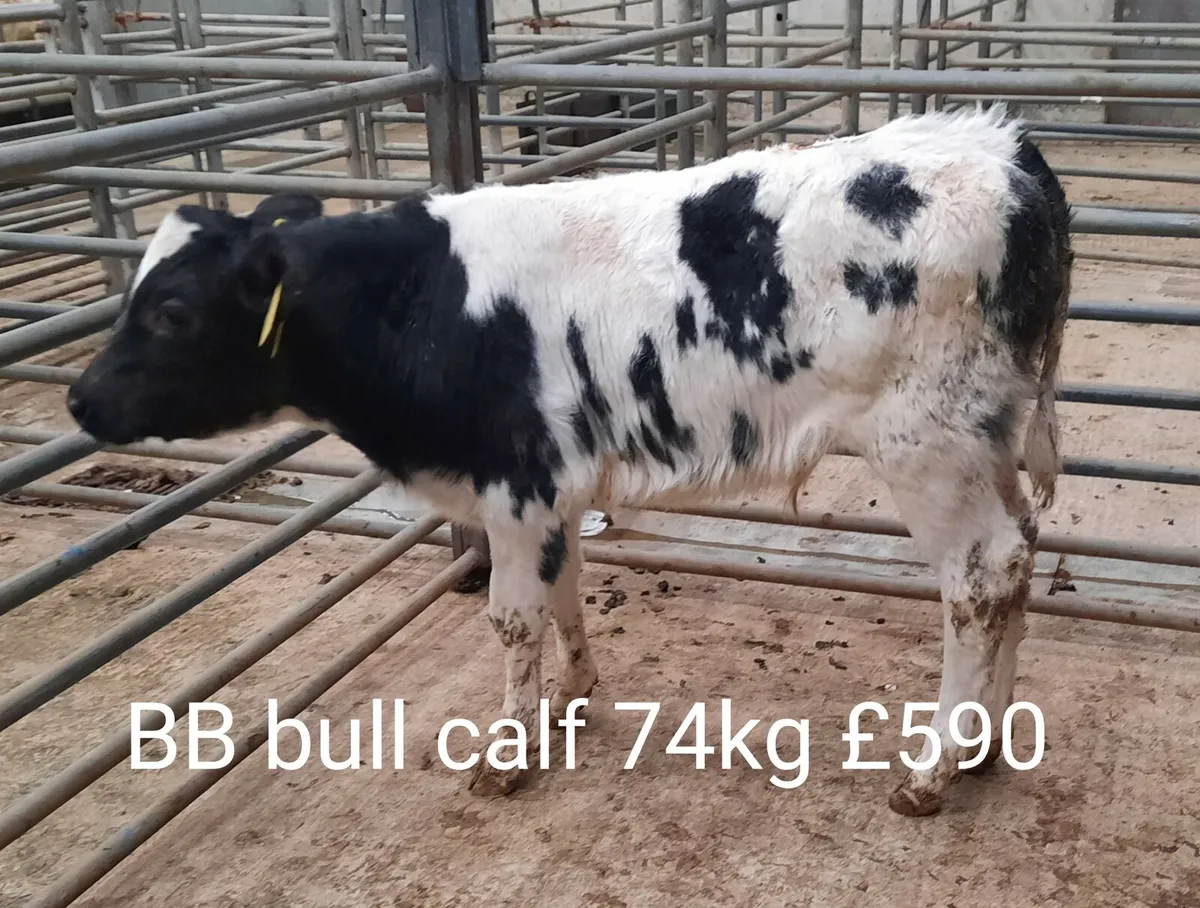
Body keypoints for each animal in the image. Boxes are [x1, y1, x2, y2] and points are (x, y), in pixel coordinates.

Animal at [66, 104, 1073, 817]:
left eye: (172, 313)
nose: (80, 400)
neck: (424, 302)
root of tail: (1003, 144)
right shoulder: (549, 491)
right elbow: (564, 592)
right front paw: (568, 697)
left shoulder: (513, 485)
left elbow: (513, 619)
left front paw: (507, 754)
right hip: (983, 438)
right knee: (1021, 553)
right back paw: (988, 745)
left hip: (927, 443)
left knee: (979, 576)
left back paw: (934, 768)